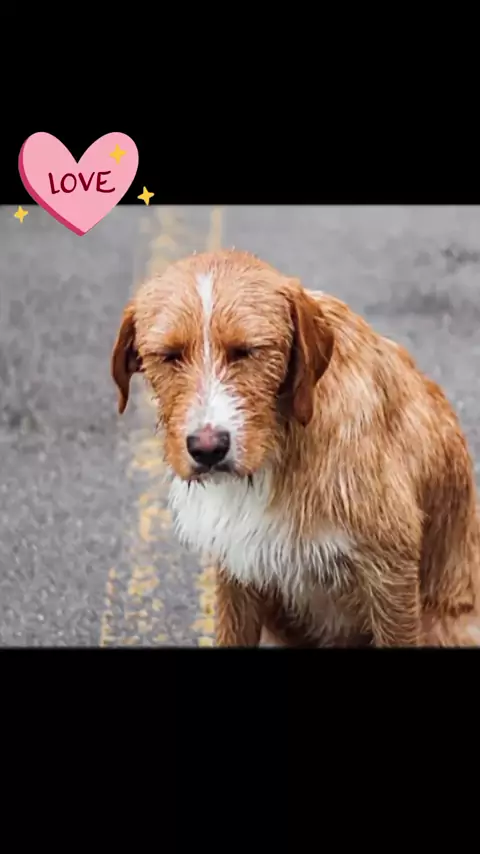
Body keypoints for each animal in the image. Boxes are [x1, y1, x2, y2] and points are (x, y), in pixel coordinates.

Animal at [111, 249, 480, 647]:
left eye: (247, 351)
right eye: (170, 355)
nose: (208, 449)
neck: (280, 442)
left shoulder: (390, 573)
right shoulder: (236, 569)